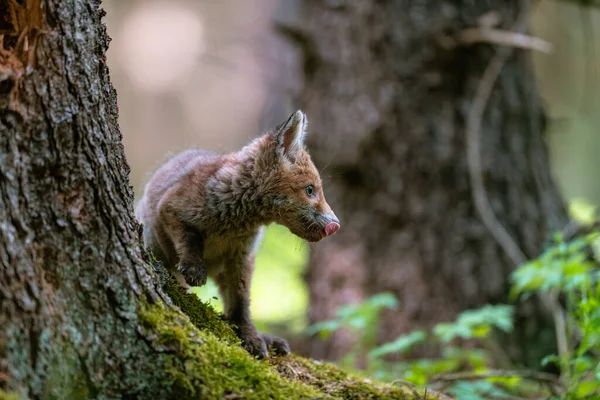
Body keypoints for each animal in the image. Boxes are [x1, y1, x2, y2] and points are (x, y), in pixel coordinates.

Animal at [137, 111, 342, 358]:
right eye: (310, 190)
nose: (335, 225)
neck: (233, 224)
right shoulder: (170, 208)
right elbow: (189, 239)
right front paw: (194, 266)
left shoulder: (242, 257)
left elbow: (241, 303)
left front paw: (250, 336)